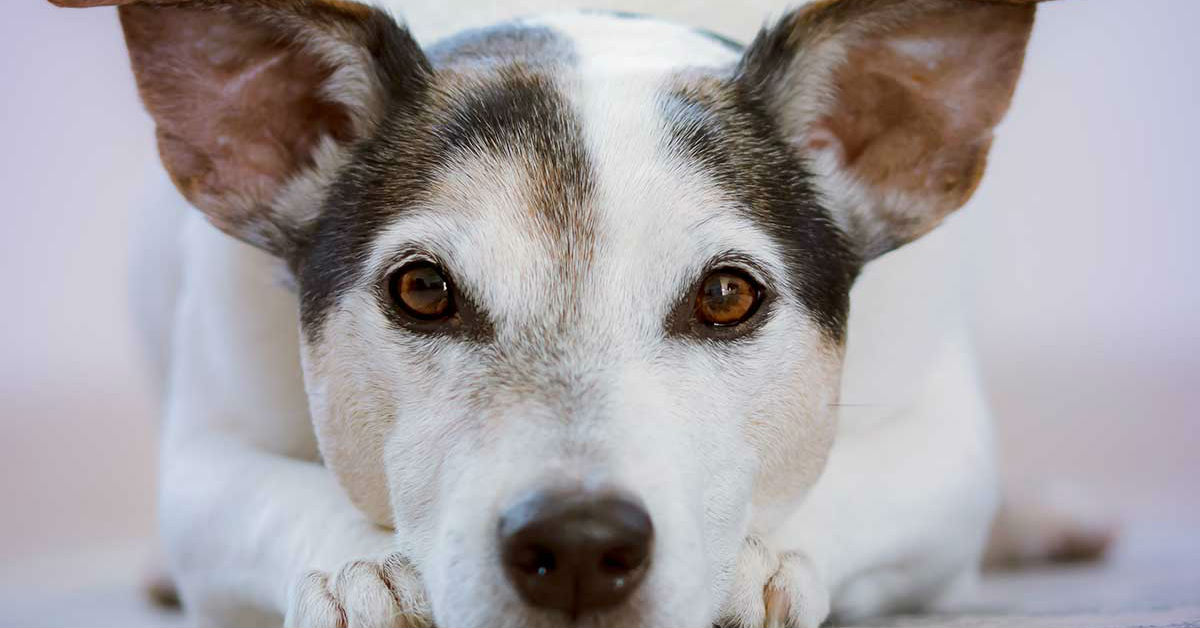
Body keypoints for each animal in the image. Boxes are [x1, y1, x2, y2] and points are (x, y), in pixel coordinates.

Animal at [44, 0, 1104, 624]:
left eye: (728, 296)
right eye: (421, 290)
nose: (584, 545)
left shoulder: (944, 447)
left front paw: (752, 566)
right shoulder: (205, 457)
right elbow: (269, 495)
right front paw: (367, 568)